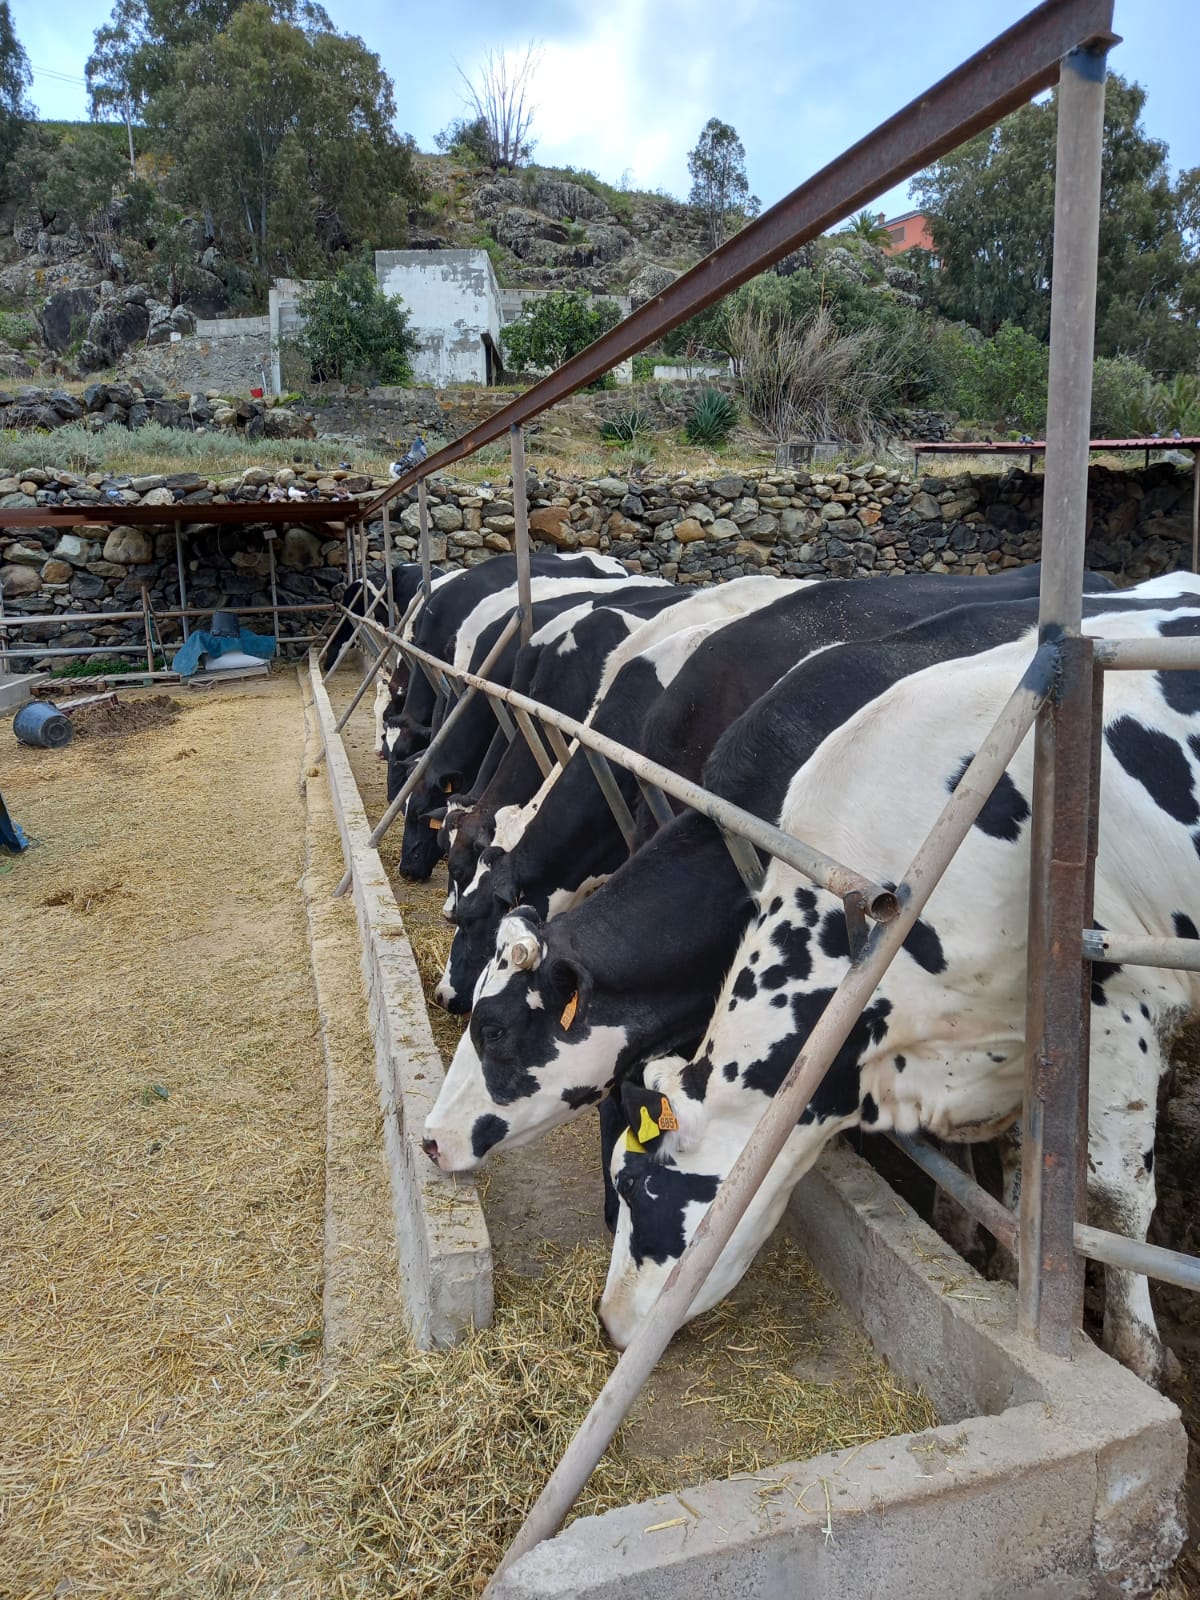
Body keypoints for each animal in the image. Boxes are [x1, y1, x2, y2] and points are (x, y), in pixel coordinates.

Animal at [604, 595, 1200, 1382]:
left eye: (636, 1186)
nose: (608, 1320)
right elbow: (1018, 1167)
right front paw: (996, 1262)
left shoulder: (1117, 1005)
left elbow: (1116, 1196)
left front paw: (1137, 1353)